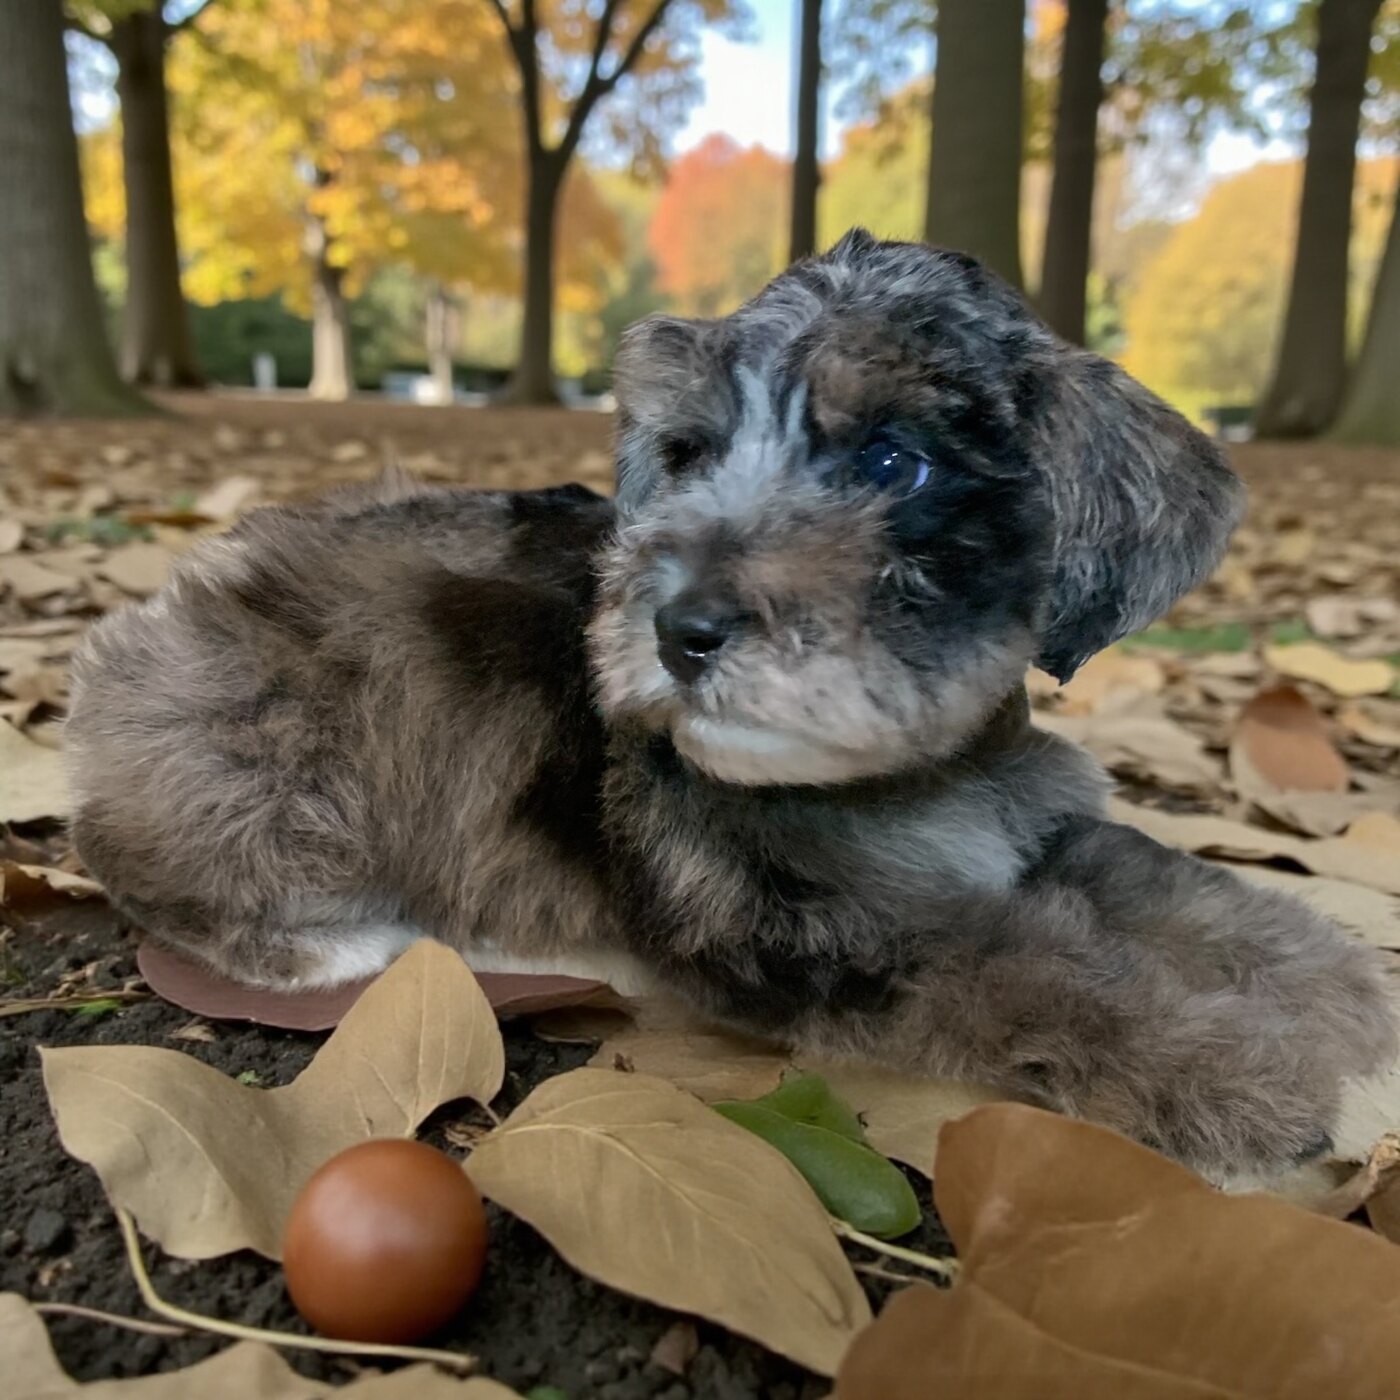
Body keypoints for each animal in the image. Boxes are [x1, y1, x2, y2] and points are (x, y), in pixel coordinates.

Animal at [65, 231, 1395, 1176]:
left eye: (892, 460)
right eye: (691, 452)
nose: (680, 629)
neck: (907, 767)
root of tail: (155, 616)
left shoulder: (1038, 828)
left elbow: (1163, 879)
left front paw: (1325, 975)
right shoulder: (842, 934)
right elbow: (1047, 967)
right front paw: (1233, 1070)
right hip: (267, 745)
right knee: (155, 866)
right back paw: (332, 938)